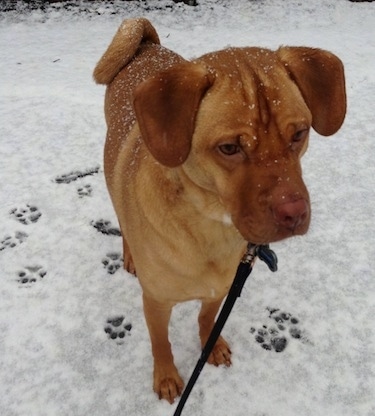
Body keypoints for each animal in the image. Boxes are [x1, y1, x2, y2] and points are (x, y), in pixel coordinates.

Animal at [93, 17, 346, 402]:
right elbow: (160, 343)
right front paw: (166, 376)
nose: (294, 214)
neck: (211, 226)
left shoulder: (222, 289)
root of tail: (146, 45)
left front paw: (209, 346)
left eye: (300, 133)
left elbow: (206, 320)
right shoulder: (156, 302)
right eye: (229, 148)